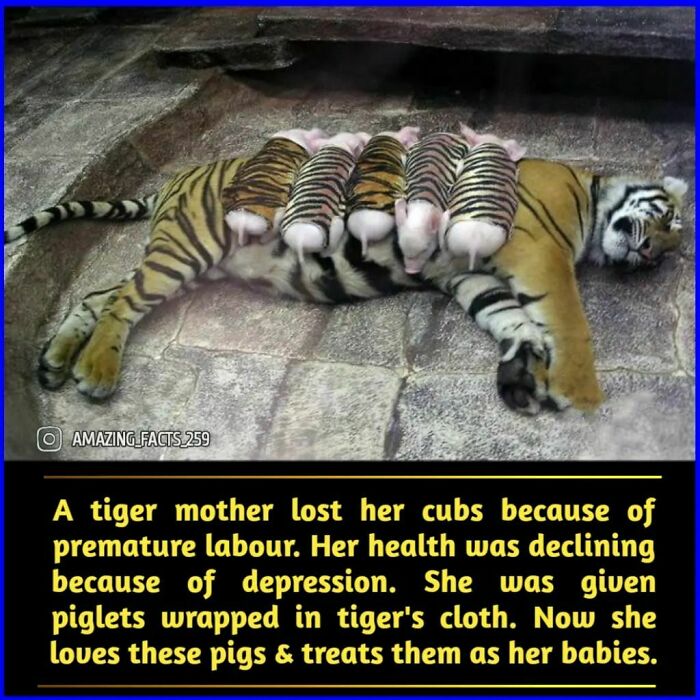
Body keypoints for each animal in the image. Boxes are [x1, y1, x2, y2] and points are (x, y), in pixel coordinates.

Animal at [4, 157, 687, 413]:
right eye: (671, 222)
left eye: (664, 253)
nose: (648, 254)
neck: (593, 201)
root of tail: (183, 174)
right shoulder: (538, 254)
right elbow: (565, 317)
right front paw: (573, 386)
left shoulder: (470, 276)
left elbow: (511, 320)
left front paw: (521, 376)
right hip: (187, 248)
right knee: (120, 303)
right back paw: (94, 372)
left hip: (182, 259)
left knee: (98, 296)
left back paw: (56, 362)